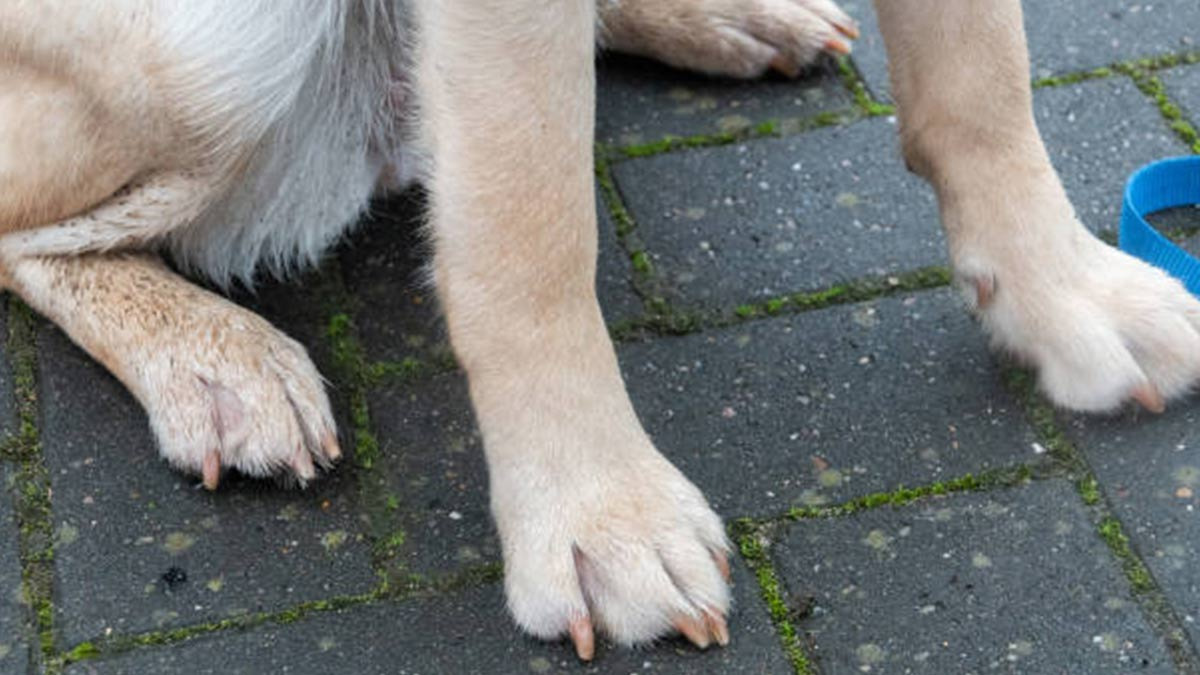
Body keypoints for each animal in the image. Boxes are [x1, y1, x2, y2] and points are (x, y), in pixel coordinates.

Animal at [2, 0, 1200, 658]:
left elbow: (984, 79)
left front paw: (1061, 290)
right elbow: (529, 231)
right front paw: (594, 507)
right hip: (205, 56)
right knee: (29, 234)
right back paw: (217, 359)